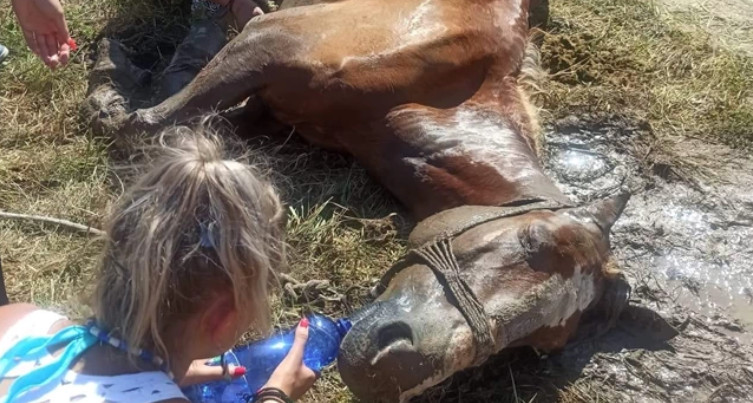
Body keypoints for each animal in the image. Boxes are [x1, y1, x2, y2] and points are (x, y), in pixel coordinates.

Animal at [85, 0, 632, 400]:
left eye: (535, 345)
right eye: (533, 239)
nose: (396, 369)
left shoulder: (267, 112)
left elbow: (182, 127)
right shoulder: (268, 41)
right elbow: (144, 125)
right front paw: (110, 77)